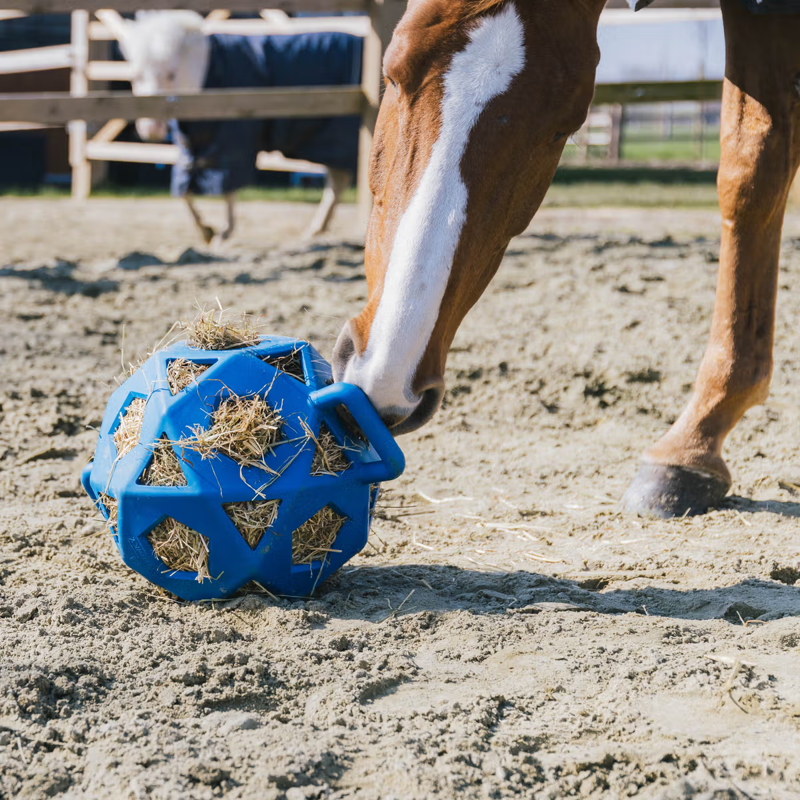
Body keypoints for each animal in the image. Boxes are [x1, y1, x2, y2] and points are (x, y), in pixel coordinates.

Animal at [114, 11, 362, 243]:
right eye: (136, 76)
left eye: (171, 74)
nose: (151, 128)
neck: (206, 74)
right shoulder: (193, 146)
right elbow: (185, 189)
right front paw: (206, 230)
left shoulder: (230, 143)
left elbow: (228, 187)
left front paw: (224, 231)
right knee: (338, 182)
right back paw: (317, 229)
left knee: (339, 181)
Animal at [331, 0, 800, 518]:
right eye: (392, 75)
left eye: (564, 126)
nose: (386, 380)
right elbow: (751, 165)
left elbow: (751, 172)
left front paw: (693, 445)